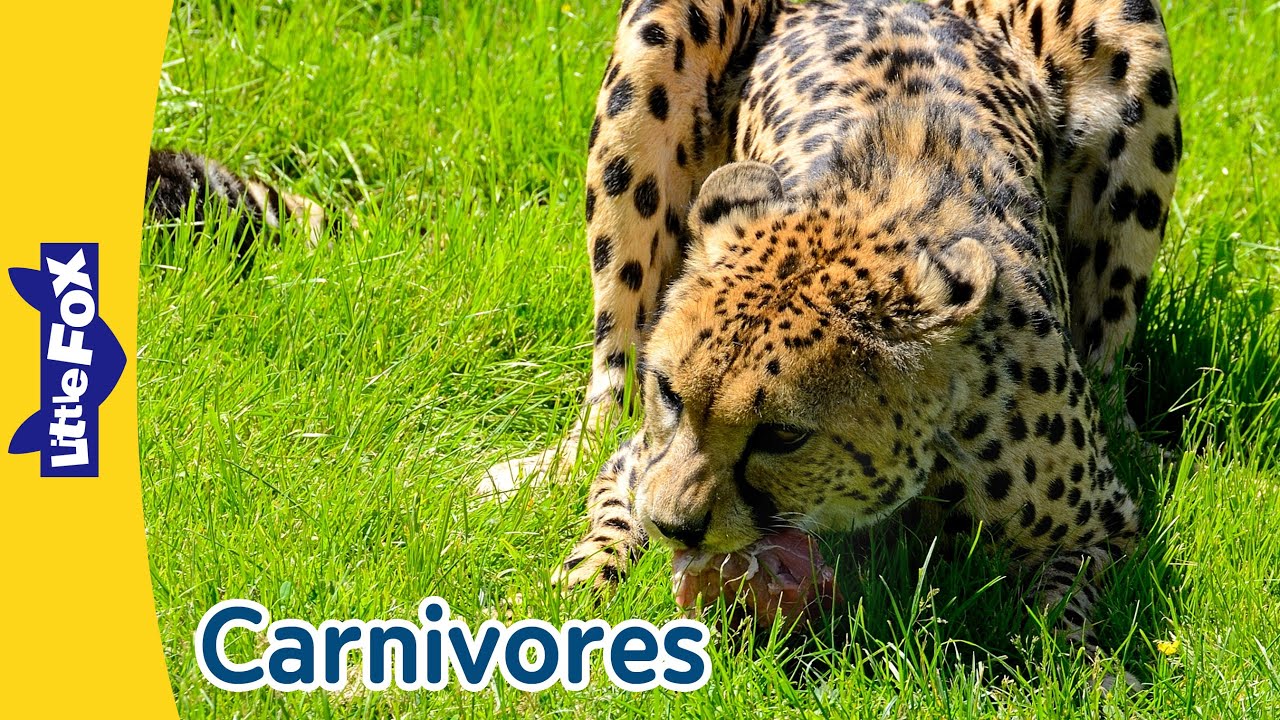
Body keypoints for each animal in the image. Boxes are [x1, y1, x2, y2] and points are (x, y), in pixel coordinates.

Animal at [479, 0, 1180, 684]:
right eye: (671, 395)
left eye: (784, 434)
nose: (674, 524)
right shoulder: (636, 463)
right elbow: (609, 515)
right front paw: (572, 602)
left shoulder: (1105, 524)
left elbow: (1063, 603)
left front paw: (1090, 669)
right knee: (610, 371)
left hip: (1129, 41)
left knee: (1110, 356)